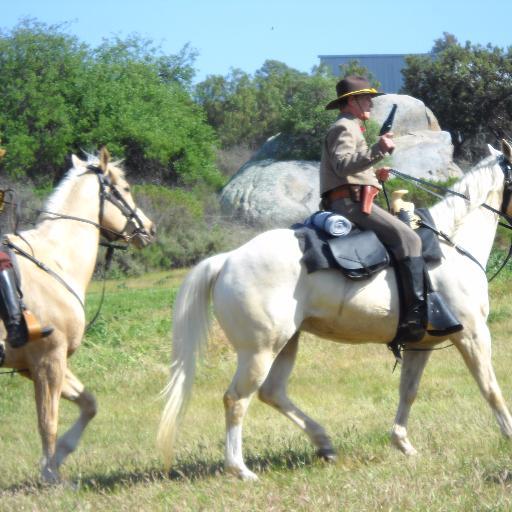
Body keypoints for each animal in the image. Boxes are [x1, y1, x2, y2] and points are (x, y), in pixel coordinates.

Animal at [1, 147, 155, 480]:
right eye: (125, 188)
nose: (150, 229)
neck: (55, 262)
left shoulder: (33, 364)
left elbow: (89, 403)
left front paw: (59, 456)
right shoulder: (49, 360)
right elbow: (48, 421)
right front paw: (50, 475)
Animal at [158, 141, 512, 480]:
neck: (452, 246)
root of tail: (227, 259)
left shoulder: (420, 345)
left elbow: (408, 392)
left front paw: (402, 443)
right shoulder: (472, 335)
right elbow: (491, 388)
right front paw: (508, 434)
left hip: (285, 344)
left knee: (272, 393)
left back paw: (324, 443)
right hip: (259, 351)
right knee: (236, 400)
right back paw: (241, 470)